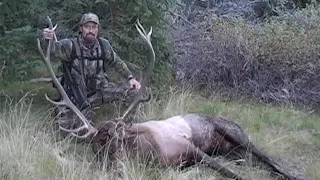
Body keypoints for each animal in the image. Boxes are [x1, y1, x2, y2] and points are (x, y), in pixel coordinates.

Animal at [38, 16, 300, 180]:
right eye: (97, 150)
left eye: (117, 143)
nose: (117, 170)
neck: (150, 153)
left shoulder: (191, 148)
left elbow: (232, 175)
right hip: (231, 151)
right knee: (250, 160)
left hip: (236, 134)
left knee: (267, 158)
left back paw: (292, 173)